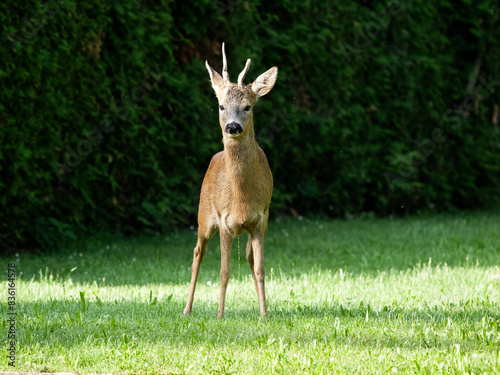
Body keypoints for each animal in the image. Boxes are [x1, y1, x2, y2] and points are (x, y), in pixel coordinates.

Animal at [184, 43, 278, 320]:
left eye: (247, 106)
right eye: (221, 106)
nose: (233, 127)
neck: (241, 197)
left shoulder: (260, 220)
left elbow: (260, 269)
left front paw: (264, 314)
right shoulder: (224, 220)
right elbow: (224, 273)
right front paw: (219, 315)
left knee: (248, 257)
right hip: (204, 216)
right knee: (197, 253)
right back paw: (187, 309)